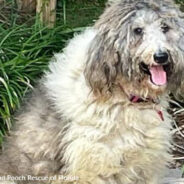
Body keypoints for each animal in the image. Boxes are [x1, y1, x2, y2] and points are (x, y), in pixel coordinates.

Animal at [0, 0, 184, 184]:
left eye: (165, 27)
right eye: (138, 30)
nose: (161, 56)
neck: (125, 97)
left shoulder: (145, 166)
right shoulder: (95, 165)